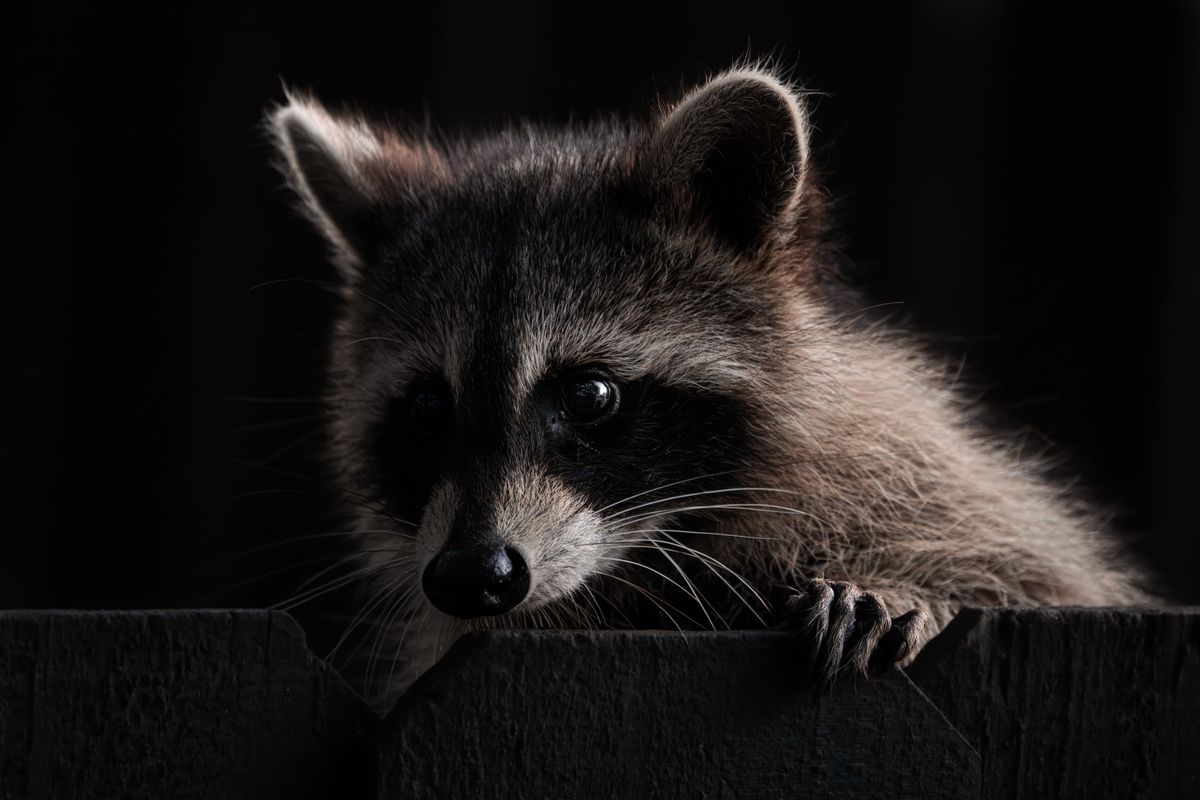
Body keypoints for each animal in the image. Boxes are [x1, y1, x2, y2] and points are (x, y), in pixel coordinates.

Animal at [268, 66, 1151, 709]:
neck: (649, 558)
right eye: (426, 407)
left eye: (590, 396)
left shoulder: (937, 488)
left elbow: (1031, 574)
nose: (472, 574)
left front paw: (907, 591)